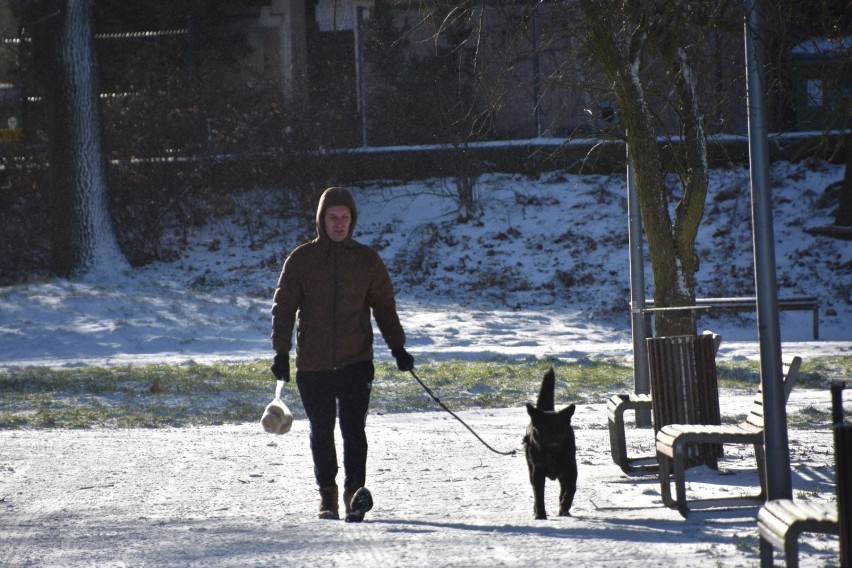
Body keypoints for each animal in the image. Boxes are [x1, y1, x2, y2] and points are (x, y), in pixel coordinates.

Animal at [524, 368, 576, 520]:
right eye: (545, 427)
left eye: (560, 427)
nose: (555, 436)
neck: (552, 453)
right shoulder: (537, 473)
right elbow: (539, 495)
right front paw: (540, 515)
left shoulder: (571, 469)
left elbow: (571, 489)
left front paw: (565, 505)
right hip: (531, 469)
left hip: (562, 474)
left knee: (564, 489)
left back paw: (564, 509)